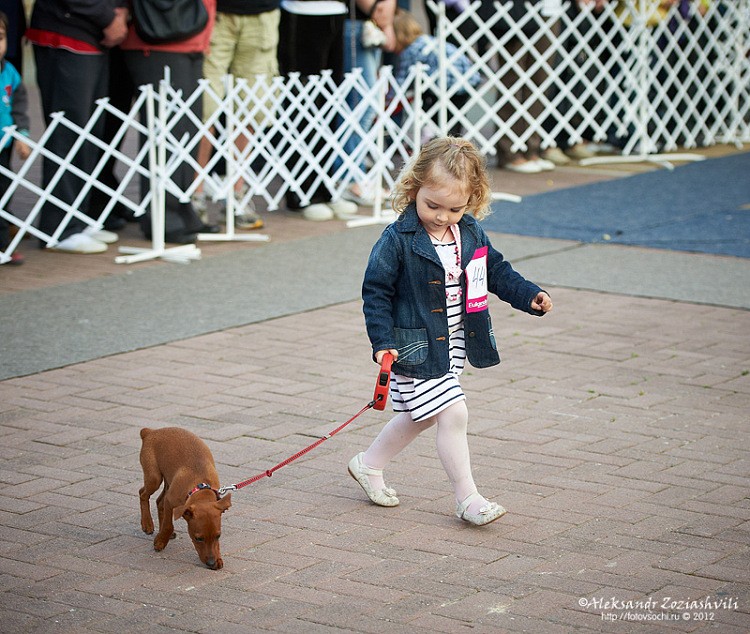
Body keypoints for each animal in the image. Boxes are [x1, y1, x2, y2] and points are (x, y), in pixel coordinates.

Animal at [138, 427, 231, 570]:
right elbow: (168, 525)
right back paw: (147, 524)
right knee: (143, 494)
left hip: (168, 481)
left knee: (159, 501)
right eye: (198, 538)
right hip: (154, 477)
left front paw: (218, 559)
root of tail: (151, 431)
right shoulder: (170, 501)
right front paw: (160, 542)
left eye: (218, 536)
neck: (200, 485)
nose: (211, 562)